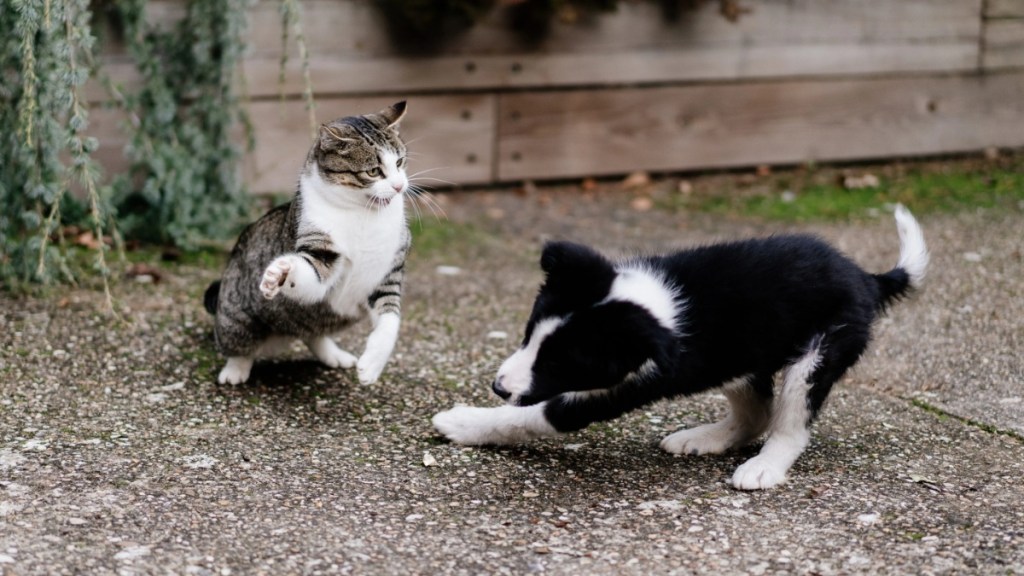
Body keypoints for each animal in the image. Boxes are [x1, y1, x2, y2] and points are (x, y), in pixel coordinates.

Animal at [203, 100, 411, 383]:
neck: (363, 214)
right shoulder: (321, 250)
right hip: (235, 319)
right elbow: (309, 272)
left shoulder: (388, 271)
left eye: (400, 162)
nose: (400, 186)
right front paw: (282, 272)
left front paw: (372, 366)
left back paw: (334, 355)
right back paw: (235, 370)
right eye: (373, 171)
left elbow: (390, 319)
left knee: (313, 334)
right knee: (239, 345)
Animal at [432, 203, 929, 485]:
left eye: (561, 363)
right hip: (739, 357)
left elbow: (533, 415)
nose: (498, 387)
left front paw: (465, 422)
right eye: (528, 334)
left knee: (790, 422)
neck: (650, 306)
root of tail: (867, 277)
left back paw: (764, 468)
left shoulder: (622, 384)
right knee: (755, 412)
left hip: (818, 354)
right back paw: (705, 439)